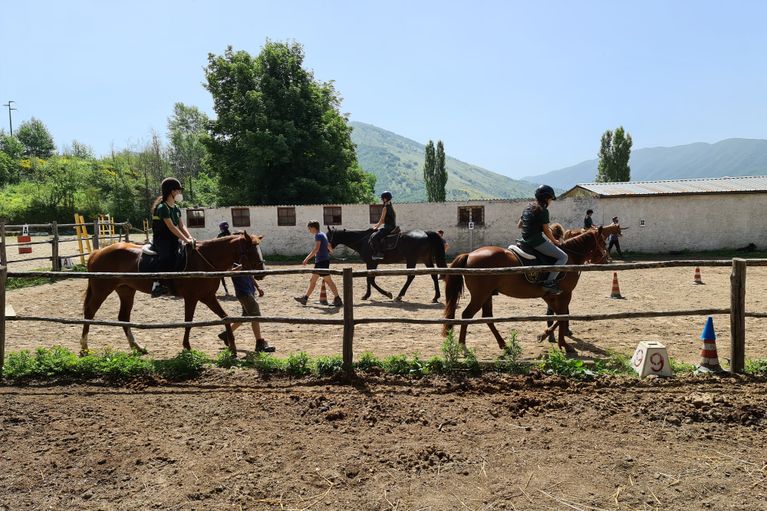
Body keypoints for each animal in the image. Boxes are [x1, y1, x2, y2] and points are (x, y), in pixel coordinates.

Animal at [80, 233, 266, 356]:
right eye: (251, 251)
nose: (261, 273)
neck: (204, 260)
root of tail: (97, 253)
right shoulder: (192, 297)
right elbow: (188, 322)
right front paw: (187, 347)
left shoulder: (207, 297)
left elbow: (225, 317)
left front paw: (232, 347)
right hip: (102, 290)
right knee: (89, 313)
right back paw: (84, 347)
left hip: (126, 290)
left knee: (123, 317)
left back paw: (137, 347)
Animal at [444, 228, 616, 356]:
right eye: (602, 241)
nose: (606, 259)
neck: (570, 257)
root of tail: (470, 254)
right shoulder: (565, 294)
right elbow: (562, 316)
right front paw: (562, 343)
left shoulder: (549, 295)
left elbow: (557, 315)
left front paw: (547, 335)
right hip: (480, 295)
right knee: (466, 316)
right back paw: (463, 347)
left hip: (487, 295)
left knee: (487, 317)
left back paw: (503, 344)